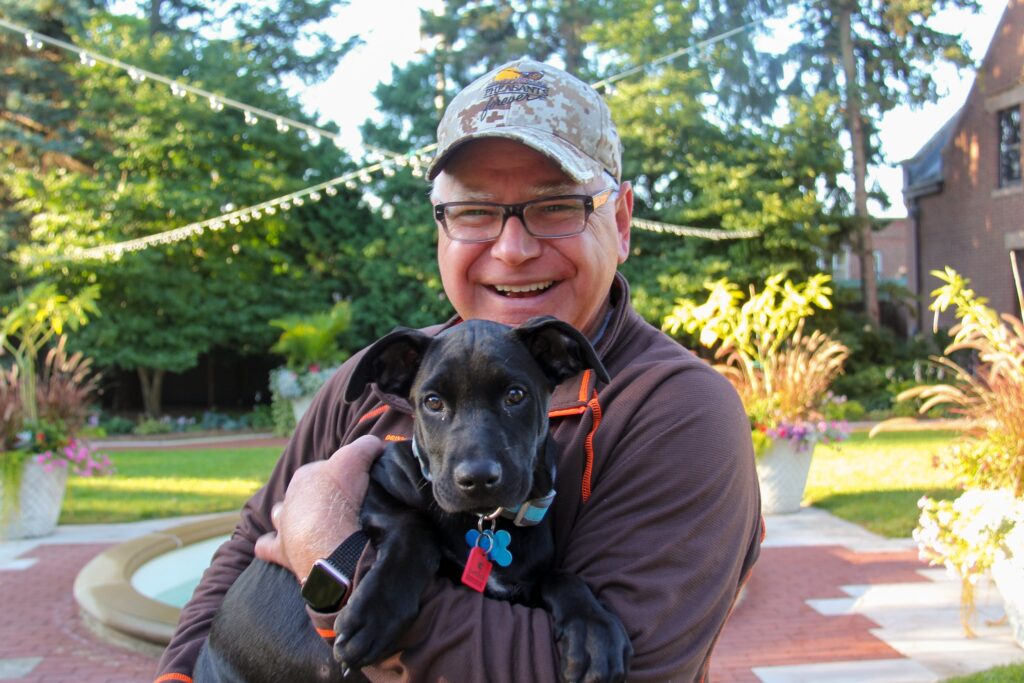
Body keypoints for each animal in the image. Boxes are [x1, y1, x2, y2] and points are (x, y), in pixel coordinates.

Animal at [190, 317, 622, 679]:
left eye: (516, 395)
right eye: (432, 402)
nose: (478, 479)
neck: (485, 521)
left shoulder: (524, 583)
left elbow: (562, 577)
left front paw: (593, 630)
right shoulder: (376, 485)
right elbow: (415, 528)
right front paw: (375, 612)